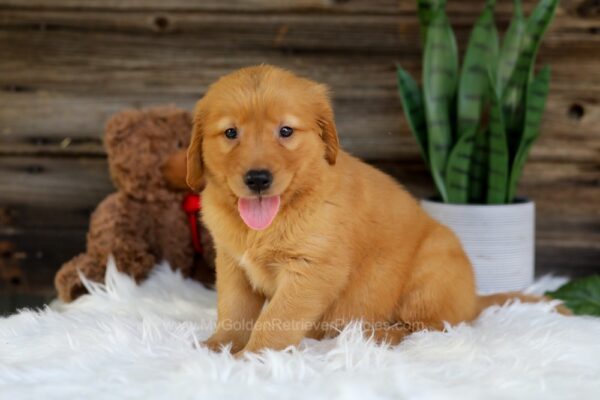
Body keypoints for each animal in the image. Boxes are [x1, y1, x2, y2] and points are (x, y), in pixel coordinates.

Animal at [188, 65, 548, 356]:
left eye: (286, 131)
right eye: (231, 133)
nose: (258, 179)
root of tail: (473, 299)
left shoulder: (312, 269)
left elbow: (278, 317)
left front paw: (252, 356)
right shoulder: (232, 264)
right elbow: (234, 311)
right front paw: (219, 345)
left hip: (431, 272)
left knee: (429, 328)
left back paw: (373, 334)